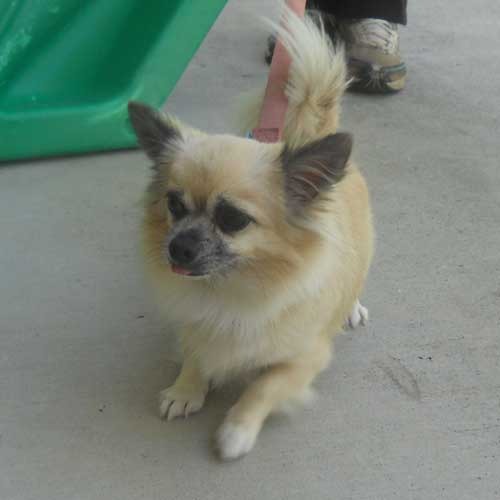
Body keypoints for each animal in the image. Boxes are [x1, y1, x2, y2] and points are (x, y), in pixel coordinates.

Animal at [128, 8, 373, 460]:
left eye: (233, 220)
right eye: (174, 206)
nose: (177, 246)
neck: (227, 290)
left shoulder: (305, 358)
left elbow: (264, 387)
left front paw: (237, 429)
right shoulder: (195, 325)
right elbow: (195, 355)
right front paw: (186, 390)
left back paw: (351, 308)